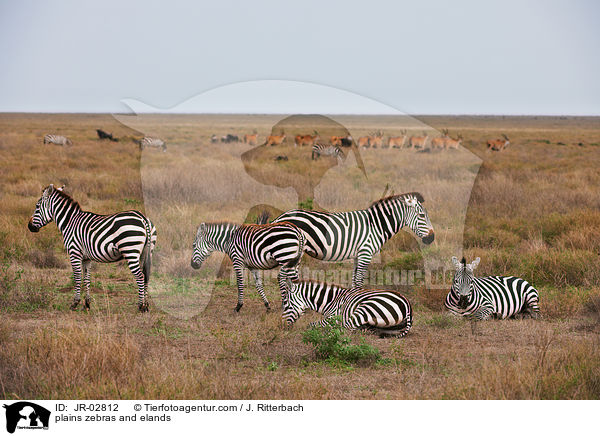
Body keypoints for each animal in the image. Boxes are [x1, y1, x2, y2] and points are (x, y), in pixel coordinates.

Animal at [27, 183, 157, 310]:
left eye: (37, 206)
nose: (29, 226)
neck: (69, 222)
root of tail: (142, 218)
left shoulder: (74, 253)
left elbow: (77, 278)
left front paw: (75, 303)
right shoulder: (86, 258)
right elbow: (87, 279)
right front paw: (87, 304)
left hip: (130, 251)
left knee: (140, 276)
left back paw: (141, 306)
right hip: (146, 252)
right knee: (146, 275)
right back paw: (146, 305)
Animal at [274, 192, 436, 290]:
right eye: (422, 215)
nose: (432, 238)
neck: (375, 225)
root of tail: (281, 217)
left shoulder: (358, 255)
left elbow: (354, 280)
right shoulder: (366, 253)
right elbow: (358, 282)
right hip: (289, 250)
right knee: (283, 276)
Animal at [282, 280, 412, 338]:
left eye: (287, 305)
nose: (284, 327)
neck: (332, 301)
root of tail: (406, 303)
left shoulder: (332, 318)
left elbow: (311, 325)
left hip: (366, 307)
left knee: (346, 328)